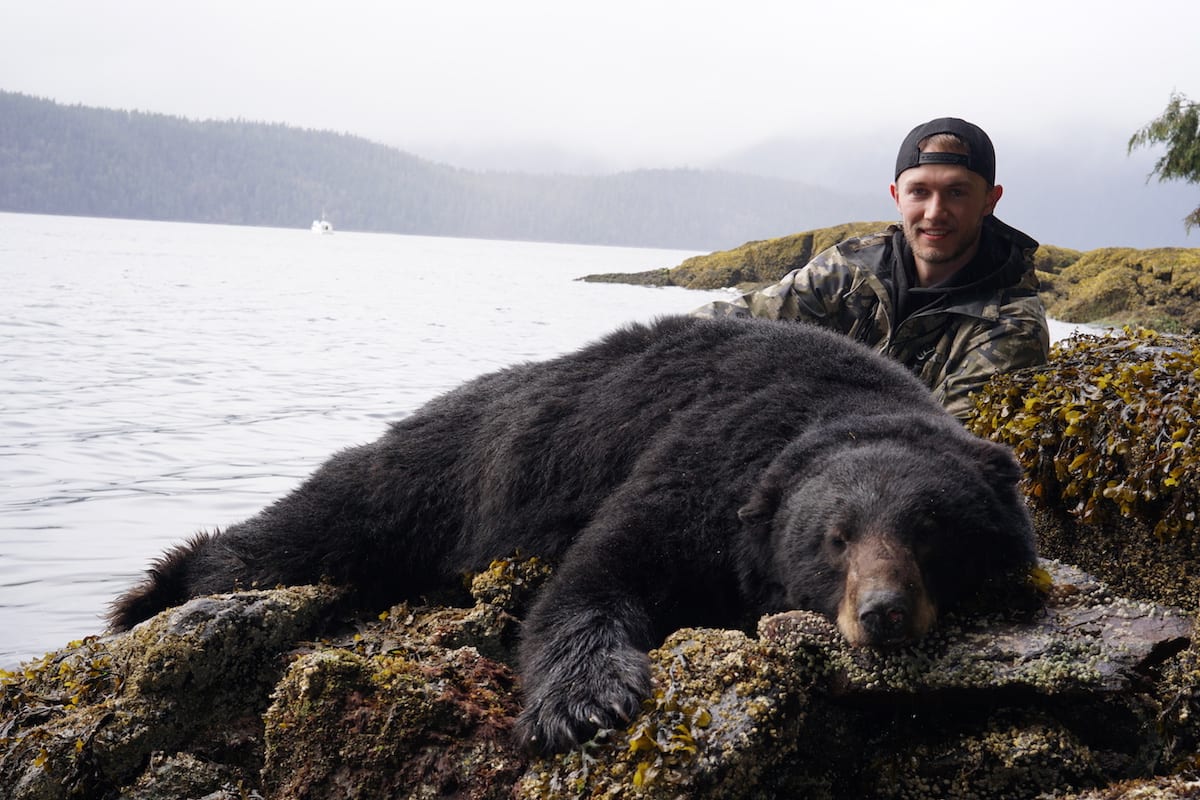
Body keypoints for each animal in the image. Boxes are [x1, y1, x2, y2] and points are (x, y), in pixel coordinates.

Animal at [108, 316, 1036, 753]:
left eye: (930, 529)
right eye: (835, 537)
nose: (882, 611)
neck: (833, 407)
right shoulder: (699, 465)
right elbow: (598, 577)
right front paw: (585, 702)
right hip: (442, 469)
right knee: (319, 518)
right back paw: (158, 592)